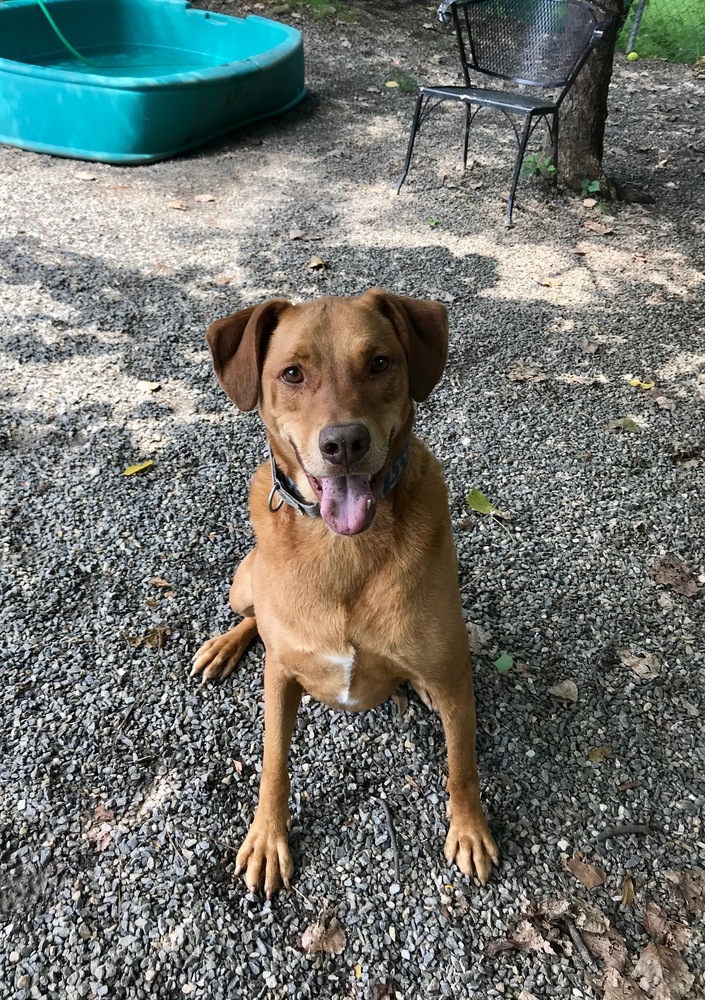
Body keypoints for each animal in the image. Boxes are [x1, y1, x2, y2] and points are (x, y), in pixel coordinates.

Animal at [192, 286, 498, 896]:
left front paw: (470, 830)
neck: (344, 548)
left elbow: (463, 765)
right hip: (244, 582)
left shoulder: (454, 677)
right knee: (252, 617)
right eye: (291, 373)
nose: (345, 443)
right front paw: (267, 838)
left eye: (379, 362)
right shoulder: (280, 677)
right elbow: (273, 764)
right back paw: (224, 646)